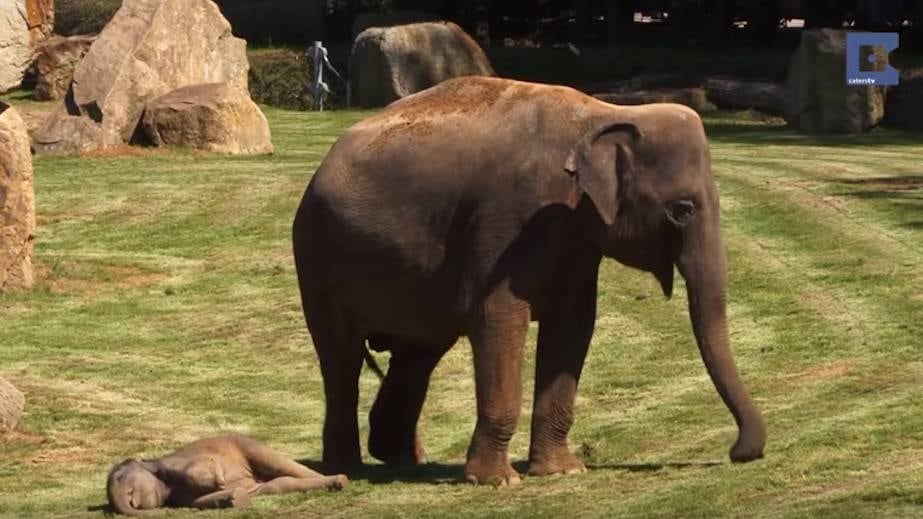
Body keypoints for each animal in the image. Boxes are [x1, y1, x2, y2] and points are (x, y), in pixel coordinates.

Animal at [106, 434, 347, 515]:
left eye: (120, 477)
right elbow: (202, 500)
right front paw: (234, 497)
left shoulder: (175, 462)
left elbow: (204, 464)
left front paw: (220, 482)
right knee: (281, 484)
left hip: (245, 444)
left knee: (281, 466)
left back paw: (341, 480)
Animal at [292, 76, 766, 485]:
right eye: (683, 209)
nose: (740, 452)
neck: (603, 114)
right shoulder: (510, 218)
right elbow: (497, 317)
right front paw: (497, 481)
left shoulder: (574, 234)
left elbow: (573, 325)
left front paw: (562, 470)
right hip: (314, 254)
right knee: (341, 356)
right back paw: (347, 467)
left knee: (419, 351)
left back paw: (403, 459)